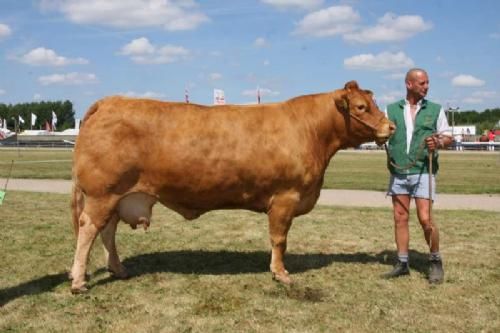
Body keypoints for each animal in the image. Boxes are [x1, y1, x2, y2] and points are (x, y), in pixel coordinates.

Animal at [68, 81, 394, 294]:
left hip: (116, 197)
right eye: (362, 107)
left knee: (107, 232)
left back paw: (119, 269)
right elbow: (279, 240)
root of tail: (110, 101)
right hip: (102, 194)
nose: (390, 127)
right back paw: (79, 281)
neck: (312, 132)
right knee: (88, 229)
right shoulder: (285, 198)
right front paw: (281, 274)